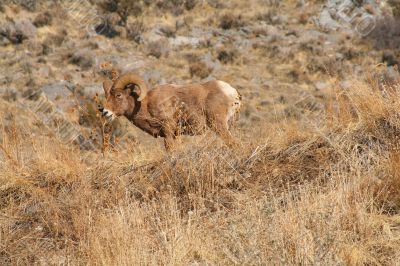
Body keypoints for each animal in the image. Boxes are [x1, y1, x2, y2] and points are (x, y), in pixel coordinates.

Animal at [98, 72, 242, 151]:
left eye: (118, 95)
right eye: (107, 96)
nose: (105, 112)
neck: (145, 105)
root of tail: (232, 92)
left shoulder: (168, 130)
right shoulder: (175, 135)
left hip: (218, 125)